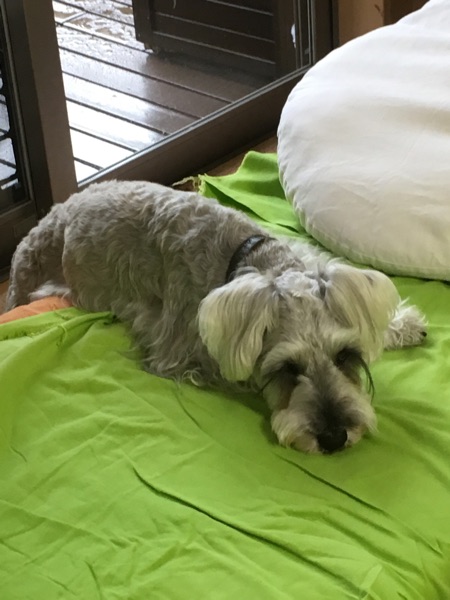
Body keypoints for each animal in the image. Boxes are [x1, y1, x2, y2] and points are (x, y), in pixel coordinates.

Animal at [5, 180, 427, 454]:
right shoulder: (180, 352)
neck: (248, 256)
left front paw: (402, 325)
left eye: (345, 356)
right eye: (287, 368)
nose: (335, 438)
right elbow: (236, 373)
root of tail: (54, 216)